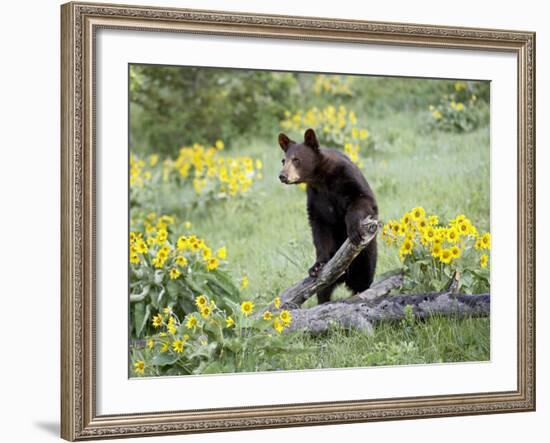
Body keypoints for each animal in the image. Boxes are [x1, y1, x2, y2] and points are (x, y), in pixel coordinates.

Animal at [280, 126, 380, 304]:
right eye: (283, 161)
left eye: (296, 159)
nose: (282, 176)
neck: (321, 178)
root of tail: (345, 278)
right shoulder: (316, 197)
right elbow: (319, 226)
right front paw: (317, 265)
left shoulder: (347, 177)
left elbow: (363, 199)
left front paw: (353, 230)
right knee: (323, 290)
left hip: (367, 255)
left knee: (364, 278)